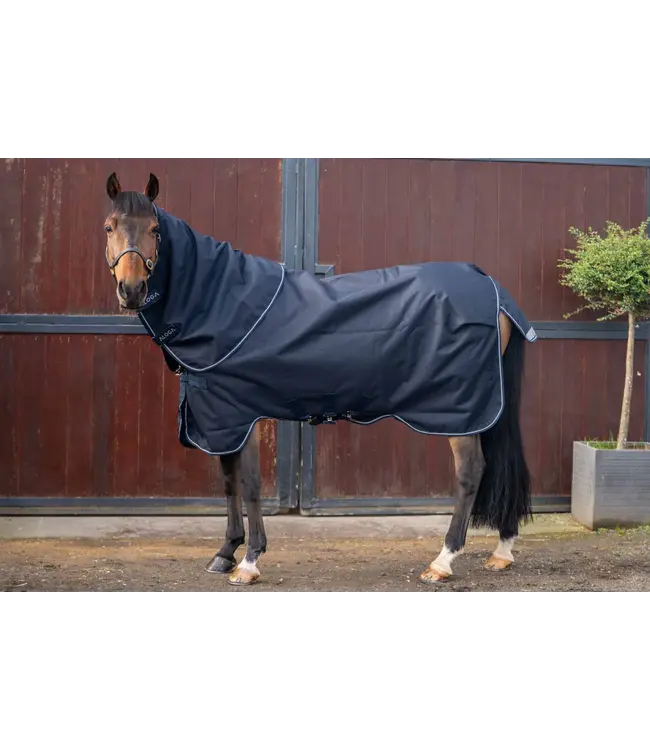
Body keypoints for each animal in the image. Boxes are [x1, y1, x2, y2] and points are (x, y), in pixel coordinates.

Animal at [103, 171, 537, 587]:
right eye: (109, 227)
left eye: (154, 229)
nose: (131, 290)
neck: (221, 301)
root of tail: (492, 287)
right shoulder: (219, 416)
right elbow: (228, 482)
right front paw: (225, 552)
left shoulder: (243, 413)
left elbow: (251, 484)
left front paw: (249, 562)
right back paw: (502, 551)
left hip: (459, 410)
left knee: (471, 473)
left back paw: (442, 562)